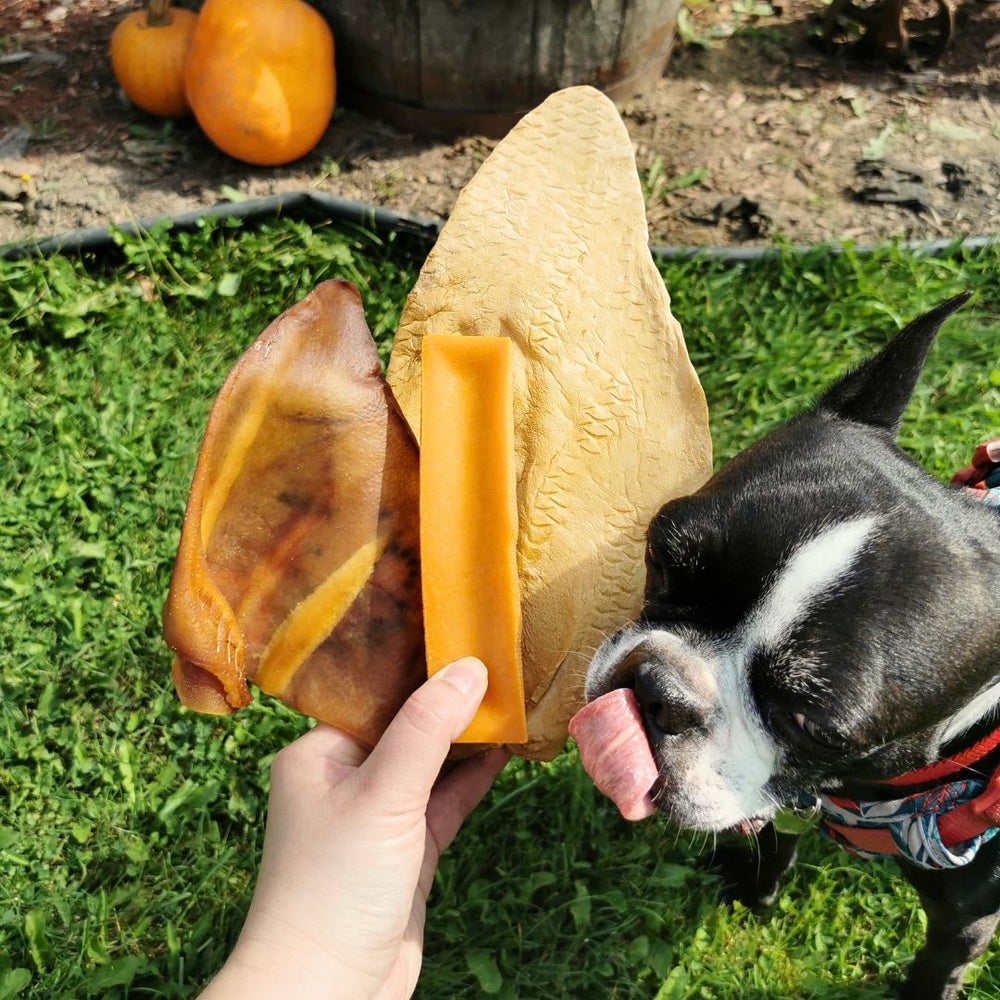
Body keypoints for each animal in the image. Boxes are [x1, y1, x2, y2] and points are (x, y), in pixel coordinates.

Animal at [580, 294, 1000, 1000]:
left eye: (810, 725)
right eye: (662, 558)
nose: (658, 688)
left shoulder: (967, 918)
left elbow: (935, 970)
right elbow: (773, 836)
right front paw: (752, 889)